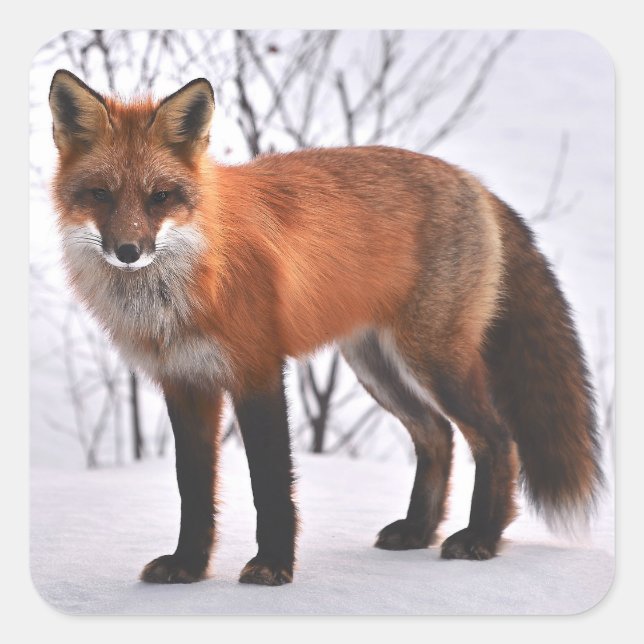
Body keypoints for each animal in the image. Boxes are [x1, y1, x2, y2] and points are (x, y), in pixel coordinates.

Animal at [48, 69, 603, 586]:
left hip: (434, 360)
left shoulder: (257, 371)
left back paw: (482, 537)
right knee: (437, 435)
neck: (188, 282)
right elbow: (194, 489)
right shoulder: (185, 383)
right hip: (376, 366)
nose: (128, 251)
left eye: (160, 197)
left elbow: (270, 483)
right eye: (100, 194)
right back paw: (418, 531)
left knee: (498, 439)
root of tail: (473, 182)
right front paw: (188, 566)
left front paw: (273, 566)